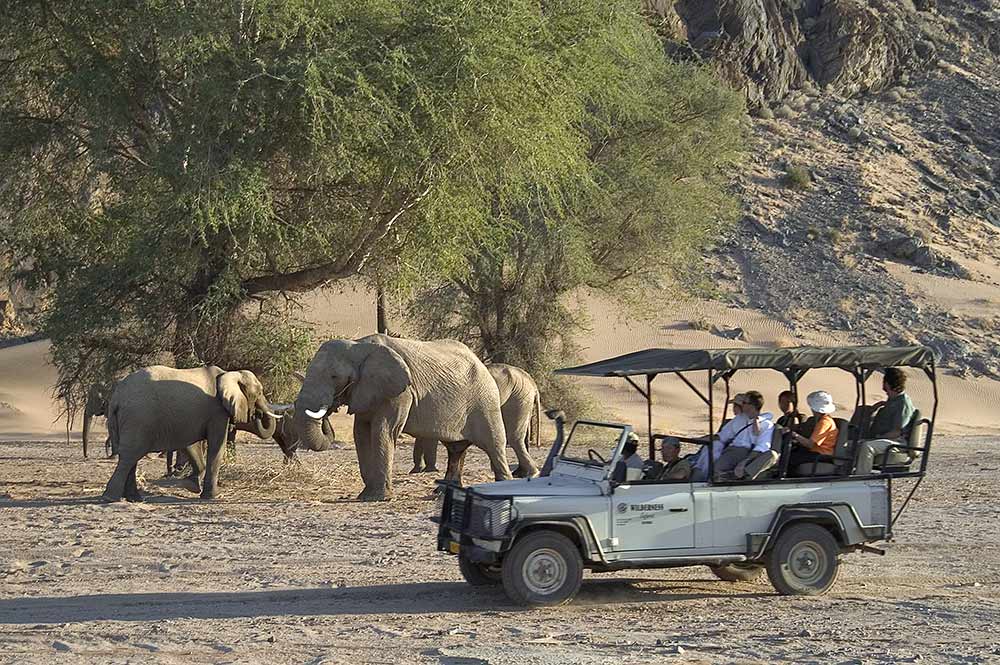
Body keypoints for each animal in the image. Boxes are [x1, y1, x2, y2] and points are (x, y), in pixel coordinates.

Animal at [102, 366, 280, 500]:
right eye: (259, 393)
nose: (257, 413)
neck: (229, 373)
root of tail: (116, 398)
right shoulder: (217, 412)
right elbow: (216, 446)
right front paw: (212, 495)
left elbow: (190, 445)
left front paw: (191, 486)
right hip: (139, 418)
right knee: (130, 456)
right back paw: (110, 498)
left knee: (130, 457)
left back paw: (134, 498)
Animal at [292, 334, 512, 500]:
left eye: (335, 377)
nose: (329, 409)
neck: (357, 346)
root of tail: (482, 364)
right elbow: (361, 434)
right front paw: (365, 495)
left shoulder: (401, 392)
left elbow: (383, 431)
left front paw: (377, 498)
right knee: (456, 449)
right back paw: (442, 493)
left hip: (485, 401)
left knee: (494, 445)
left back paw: (504, 488)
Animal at [412, 360, 544, 480]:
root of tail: (532, 382)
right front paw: (417, 471)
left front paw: (427, 471)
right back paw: (521, 473)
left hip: (518, 397)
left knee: (513, 437)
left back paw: (530, 474)